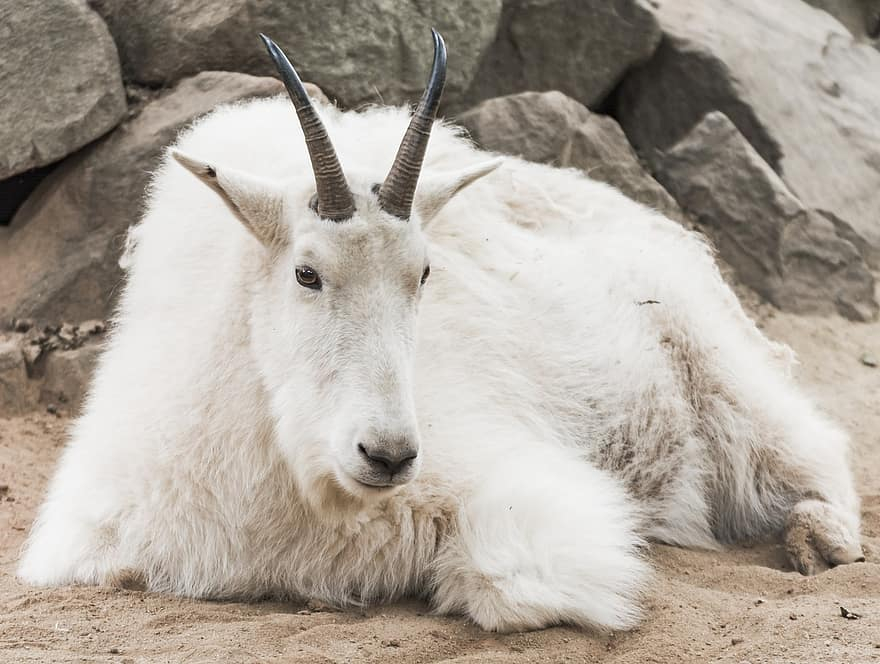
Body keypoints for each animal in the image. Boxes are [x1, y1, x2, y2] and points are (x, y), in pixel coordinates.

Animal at [18, 31, 863, 632]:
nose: (388, 454)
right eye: (306, 273)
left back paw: (815, 539)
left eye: (425, 274)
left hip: (725, 380)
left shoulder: (517, 487)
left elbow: (512, 580)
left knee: (817, 451)